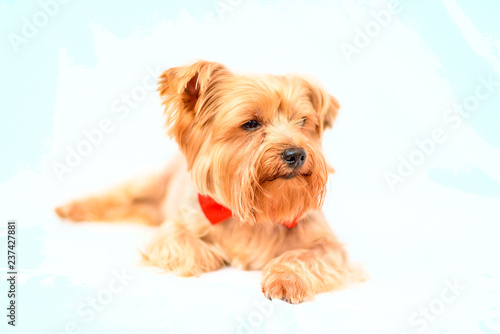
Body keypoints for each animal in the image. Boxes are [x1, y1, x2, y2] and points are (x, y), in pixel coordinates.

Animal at [54, 60, 362, 302]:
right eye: (251, 123)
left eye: (303, 122)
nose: (296, 153)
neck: (256, 211)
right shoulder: (173, 229)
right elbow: (187, 244)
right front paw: (217, 255)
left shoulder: (329, 245)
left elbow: (307, 255)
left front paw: (286, 279)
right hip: (149, 183)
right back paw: (70, 209)